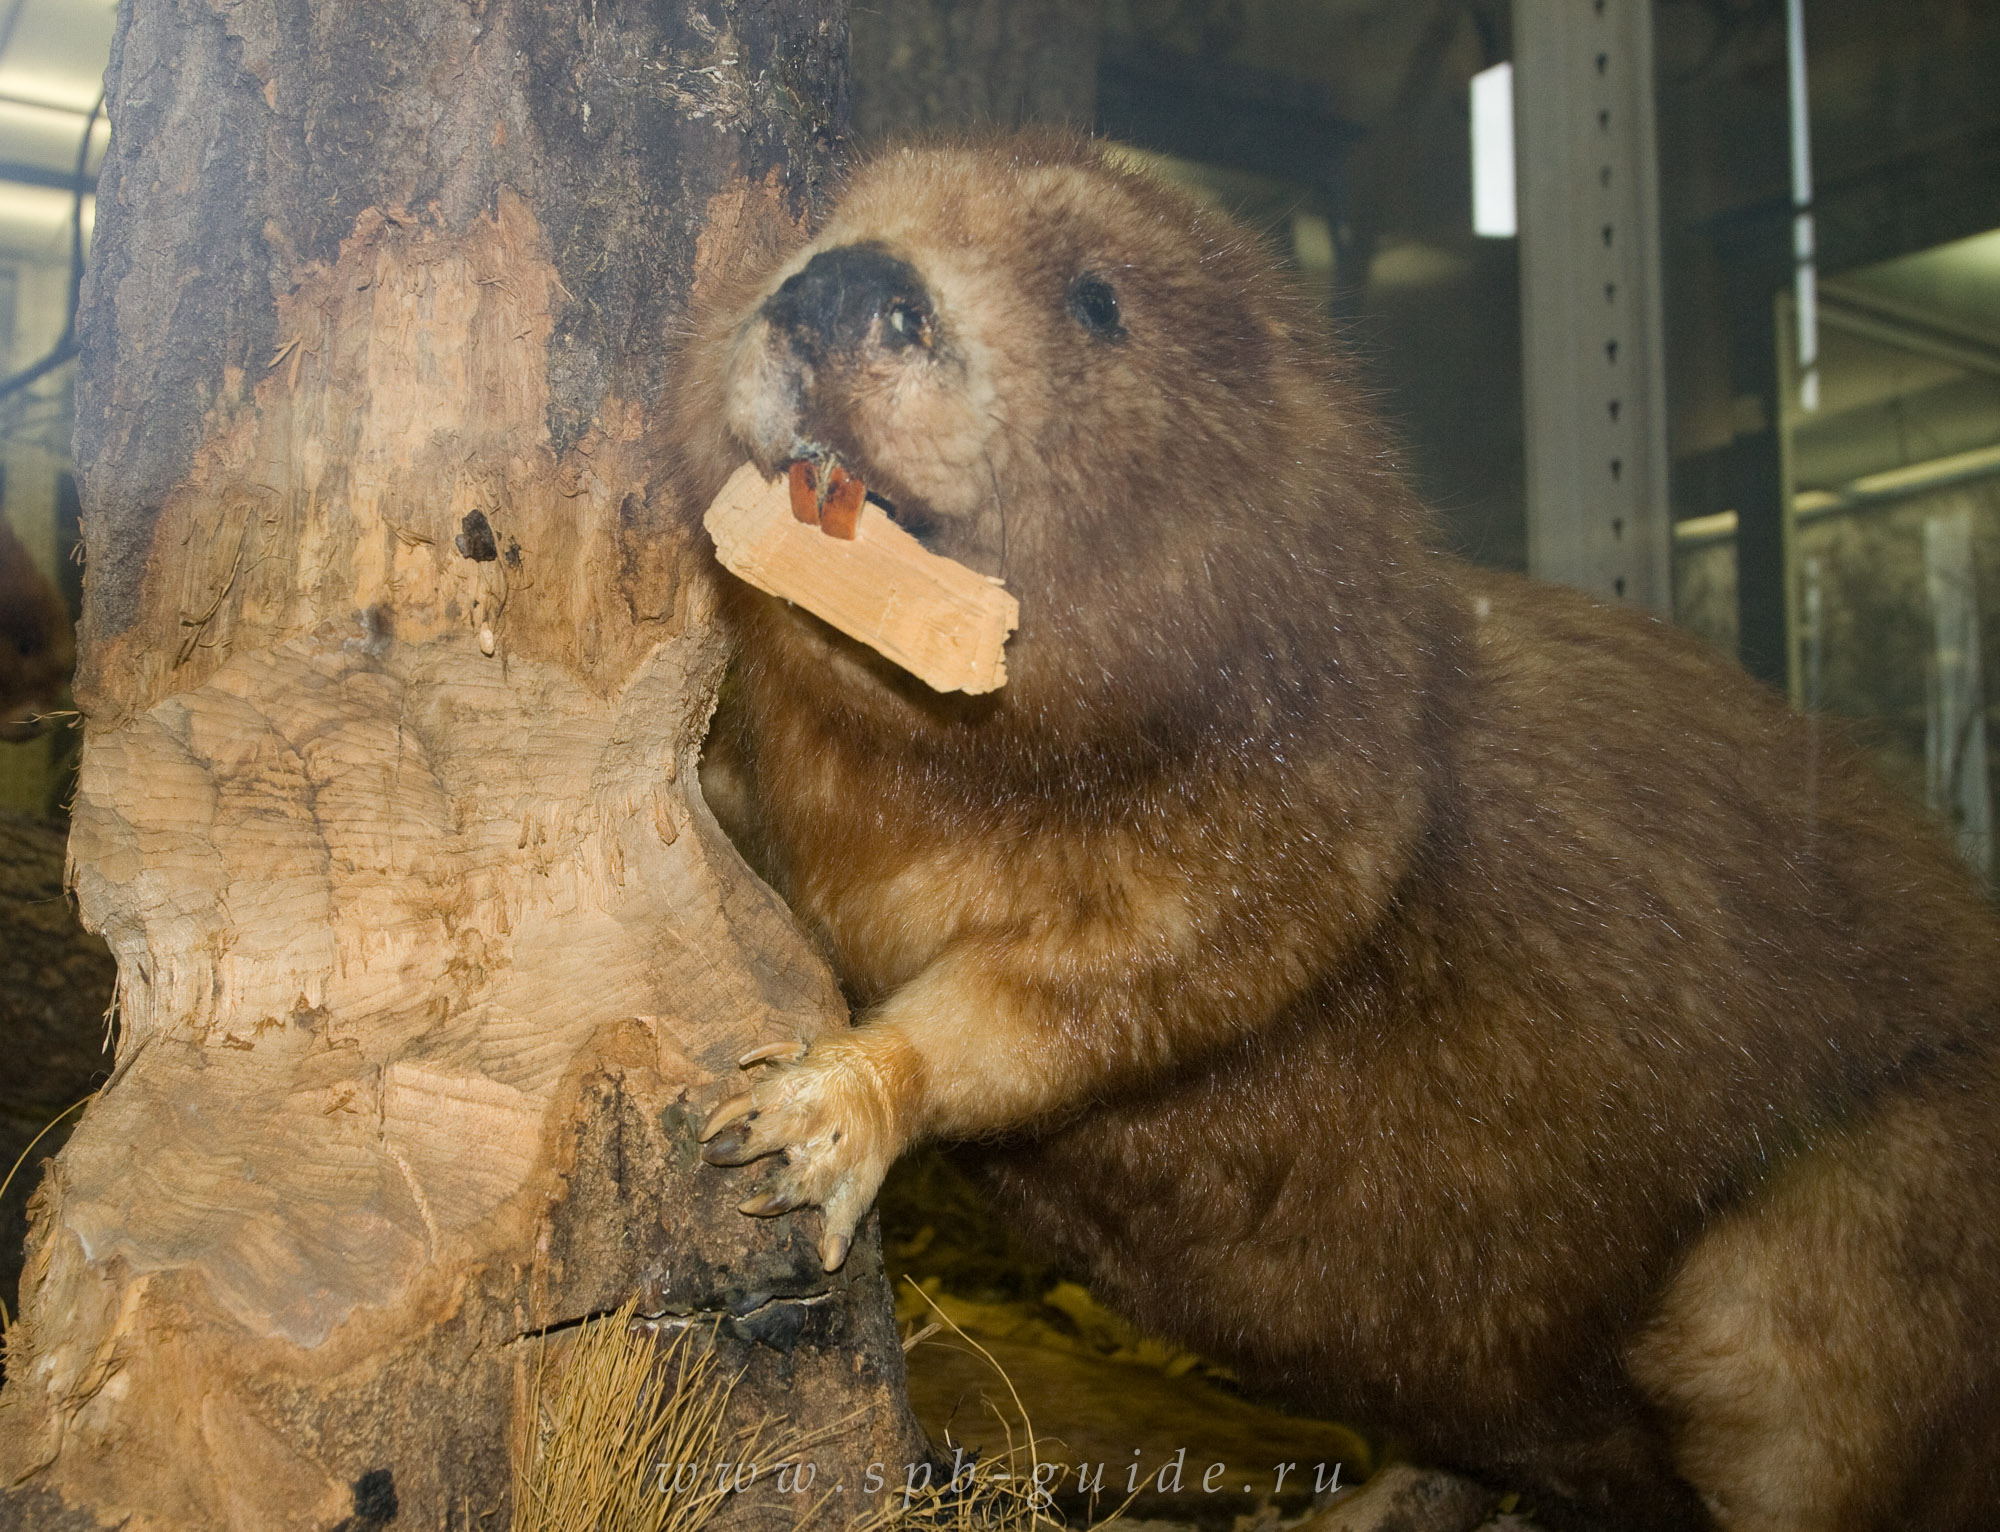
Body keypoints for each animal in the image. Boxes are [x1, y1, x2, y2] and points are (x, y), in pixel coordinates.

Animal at [668, 135, 2000, 1532]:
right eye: (822, 214)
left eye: (1097, 298)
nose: (843, 289)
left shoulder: (1331, 797)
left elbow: (1108, 988)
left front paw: (808, 1115)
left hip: (1840, 1250)